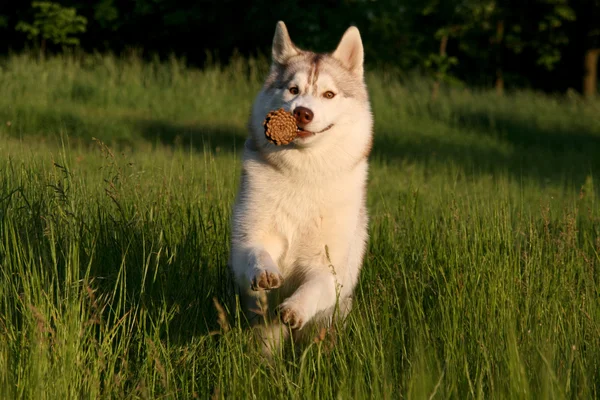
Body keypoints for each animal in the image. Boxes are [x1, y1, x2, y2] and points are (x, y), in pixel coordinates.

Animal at [229, 21, 372, 354]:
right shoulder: (247, 239)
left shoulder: (329, 268)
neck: (304, 175)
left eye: (329, 94)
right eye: (293, 90)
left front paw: (295, 307)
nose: (302, 112)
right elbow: (255, 253)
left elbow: (315, 286)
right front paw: (264, 271)